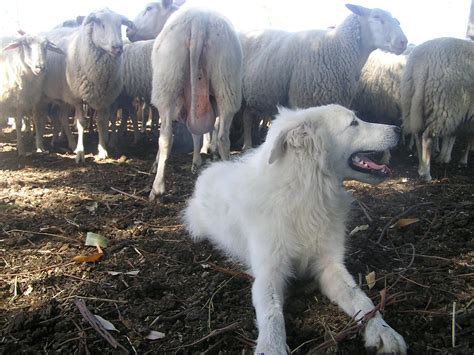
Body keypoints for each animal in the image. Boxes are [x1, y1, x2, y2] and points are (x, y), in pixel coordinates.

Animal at [37, 9, 135, 163]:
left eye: (120, 24)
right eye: (100, 23)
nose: (117, 48)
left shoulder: (102, 99)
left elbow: (101, 122)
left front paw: (102, 150)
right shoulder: (77, 98)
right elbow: (81, 123)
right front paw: (80, 153)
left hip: (63, 96)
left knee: (62, 117)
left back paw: (70, 144)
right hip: (41, 96)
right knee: (39, 119)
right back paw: (40, 146)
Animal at [148, 8, 243, 202]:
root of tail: (200, 19)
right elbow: (198, 134)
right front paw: (197, 162)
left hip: (166, 83)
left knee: (165, 136)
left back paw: (157, 188)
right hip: (226, 81)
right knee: (223, 137)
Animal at [183, 105, 406, 355]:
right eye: (353, 123)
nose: (399, 129)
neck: (306, 192)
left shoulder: (330, 265)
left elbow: (361, 299)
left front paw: (383, 331)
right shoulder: (269, 272)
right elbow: (271, 313)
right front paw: (271, 347)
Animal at [241, 3, 408, 150]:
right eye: (376, 16)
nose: (403, 42)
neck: (337, 49)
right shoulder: (304, 101)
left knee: (247, 115)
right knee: (246, 117)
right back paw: (247, 145)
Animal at [400, 36, 474, 181]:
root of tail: (424, 59)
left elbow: (454, 136)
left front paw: (445, 157)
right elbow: (467, 138)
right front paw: (462, 160)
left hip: (412, 102)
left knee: (417, 134)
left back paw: (421, 167)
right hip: (445, 107)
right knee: (427, 137)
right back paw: (426, 174)